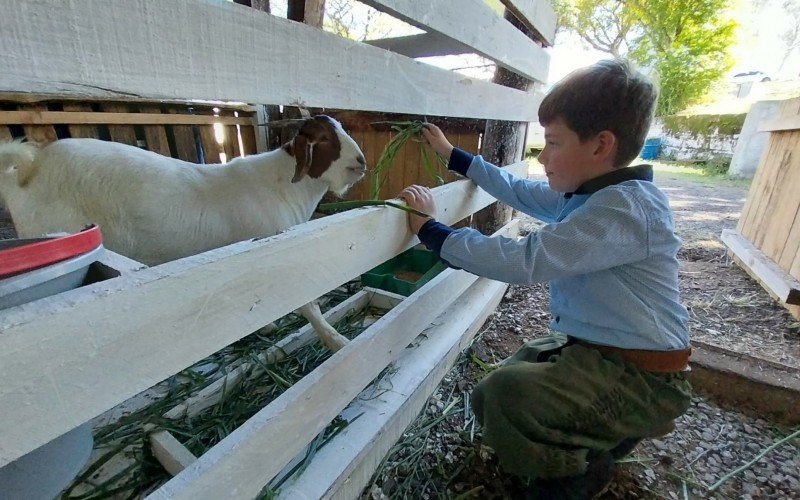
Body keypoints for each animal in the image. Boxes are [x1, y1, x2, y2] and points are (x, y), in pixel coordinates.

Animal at [0, 116, 368, 352]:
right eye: (323, 139)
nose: (362, 162)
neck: (284, 186)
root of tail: (29, 172)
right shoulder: (277, 249)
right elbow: (307, 303)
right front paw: (337, 341)